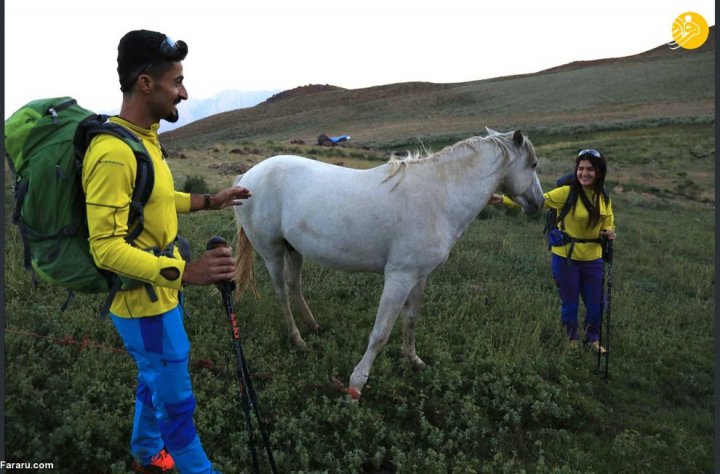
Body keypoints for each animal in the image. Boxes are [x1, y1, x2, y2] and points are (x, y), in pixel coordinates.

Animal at [233, 128, 544, 398]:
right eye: (534, 164)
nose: (539, 204)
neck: (439, 196)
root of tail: (246, 176)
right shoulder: (399, 277)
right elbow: (380, 334)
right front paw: (356, 386)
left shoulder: (419, 276)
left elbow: (411, 318)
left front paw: (414, 360)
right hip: (272, 251)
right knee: (281, 293)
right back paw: (298, 340)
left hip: (293, 249)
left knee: (294, 285)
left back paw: (313, 326)